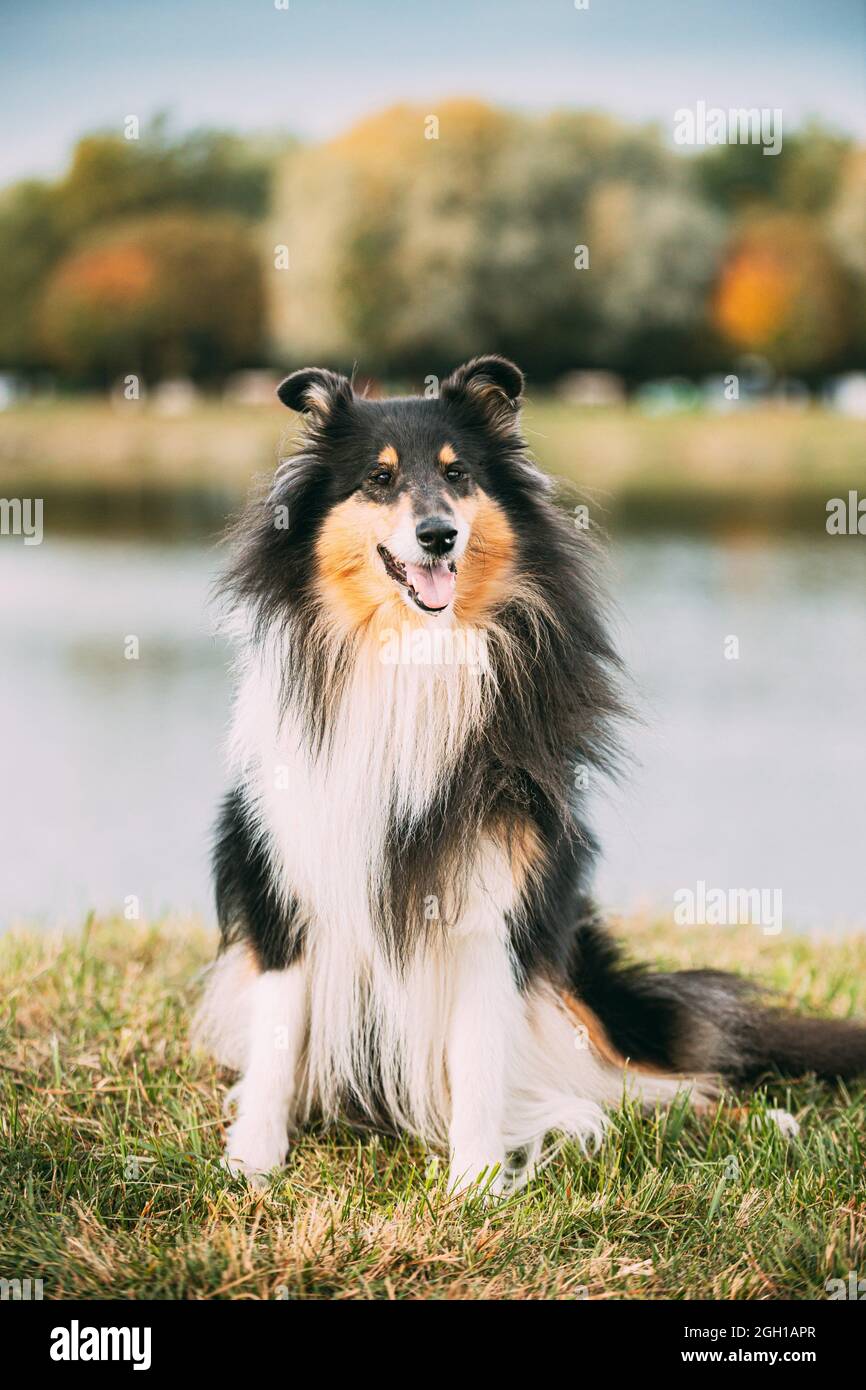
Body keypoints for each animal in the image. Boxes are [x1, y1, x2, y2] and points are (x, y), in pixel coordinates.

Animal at [194, 353, 866, 1189]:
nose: (439, 535)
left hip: (570, 979)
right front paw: (254, 1156)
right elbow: (279, 1036)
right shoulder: (288, 882)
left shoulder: (493, 904)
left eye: (459, 474)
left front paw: (476, 1183)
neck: (414, 658)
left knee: (652, 1080)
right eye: (379, 479)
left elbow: (481, 1058)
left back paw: (767, 1120)